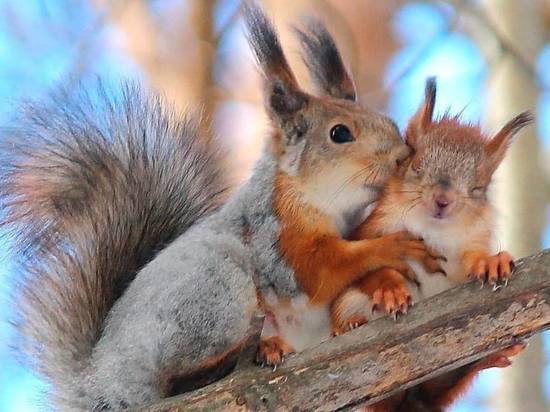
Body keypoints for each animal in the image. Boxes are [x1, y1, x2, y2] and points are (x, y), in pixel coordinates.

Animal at [0, 6, 442, 412]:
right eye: (340, 134)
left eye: (387, 121)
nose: (403, 156)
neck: (323, 204)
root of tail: (101, 382)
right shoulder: (275, 239)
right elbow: (320, 269)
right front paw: (392, 246)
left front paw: (388, 287)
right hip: (215, 287)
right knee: (176, 377)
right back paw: (242, 355)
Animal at [332, 78, 536, 412]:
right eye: (414, 165)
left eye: (479, 187)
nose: (443, 200)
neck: (433, 229)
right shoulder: (369, 232)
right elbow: (364, 267)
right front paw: (389, 289)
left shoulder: (472, 240)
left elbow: (473, 260)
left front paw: (490, 262)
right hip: (351, 306)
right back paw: (348, 326)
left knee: (441, 387)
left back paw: (487, 358)